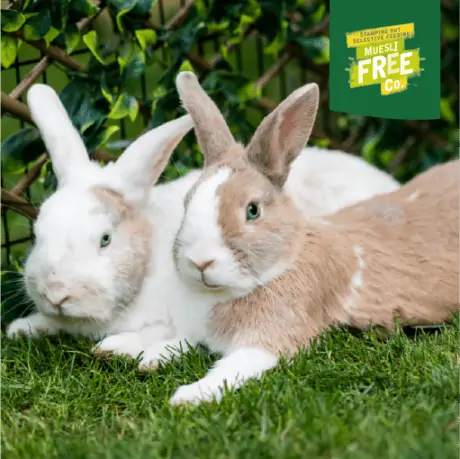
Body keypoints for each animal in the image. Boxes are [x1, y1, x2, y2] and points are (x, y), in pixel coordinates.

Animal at [166, 72, 460, 406]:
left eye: (252, 211)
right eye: (187, 203)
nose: (200, 262)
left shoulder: (270, 339)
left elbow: (232, 367)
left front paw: (186, 396)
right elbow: (177, 340)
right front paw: (140, 353)